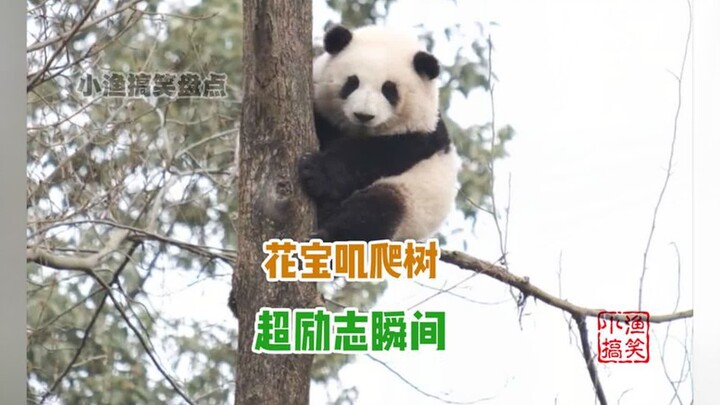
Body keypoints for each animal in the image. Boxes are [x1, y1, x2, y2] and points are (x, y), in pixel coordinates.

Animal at [299, 25, 460, 242]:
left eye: (388, 90)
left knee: (374, 212)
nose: (363, 115)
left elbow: (376, 154)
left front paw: (316, 172)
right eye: (352, 82)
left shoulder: (421, 135)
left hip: (409, 202)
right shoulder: (323, 113)